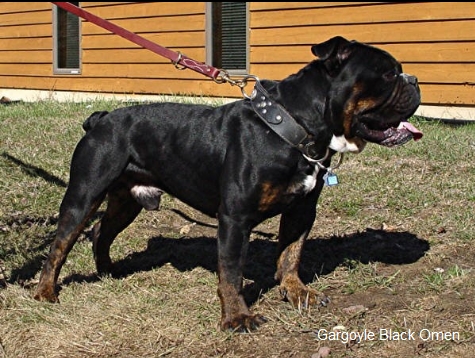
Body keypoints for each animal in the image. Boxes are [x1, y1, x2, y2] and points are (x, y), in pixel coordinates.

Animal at [33, 35, 422, 330]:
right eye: (389, 73)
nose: (415, 80)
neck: (293, 127)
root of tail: (100, 119)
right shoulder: (235, 219)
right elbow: (231, 271)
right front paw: (237, 318)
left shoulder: (301, 211)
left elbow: (291, 255)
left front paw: (297, 292)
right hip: (84, 194)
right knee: (60, 245)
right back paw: (46, 293)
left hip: (126, 201)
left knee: (102, 231)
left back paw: (108, 272)